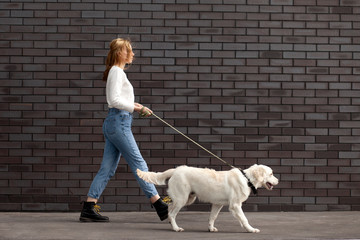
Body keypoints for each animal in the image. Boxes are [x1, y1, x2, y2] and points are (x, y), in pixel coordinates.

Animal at [136, 165, 278, 232]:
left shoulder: (217, 204)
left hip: (187, 198)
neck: (247, 179)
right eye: (271, 174)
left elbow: (212, 217)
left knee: (170, 210)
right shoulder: (235, 205)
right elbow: (244, 219)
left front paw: (211, 228)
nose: (278, 180)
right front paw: (251, 229)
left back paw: (171, 224)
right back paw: (176, 228)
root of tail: (175, 170)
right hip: (182, 198)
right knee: (172, 213)